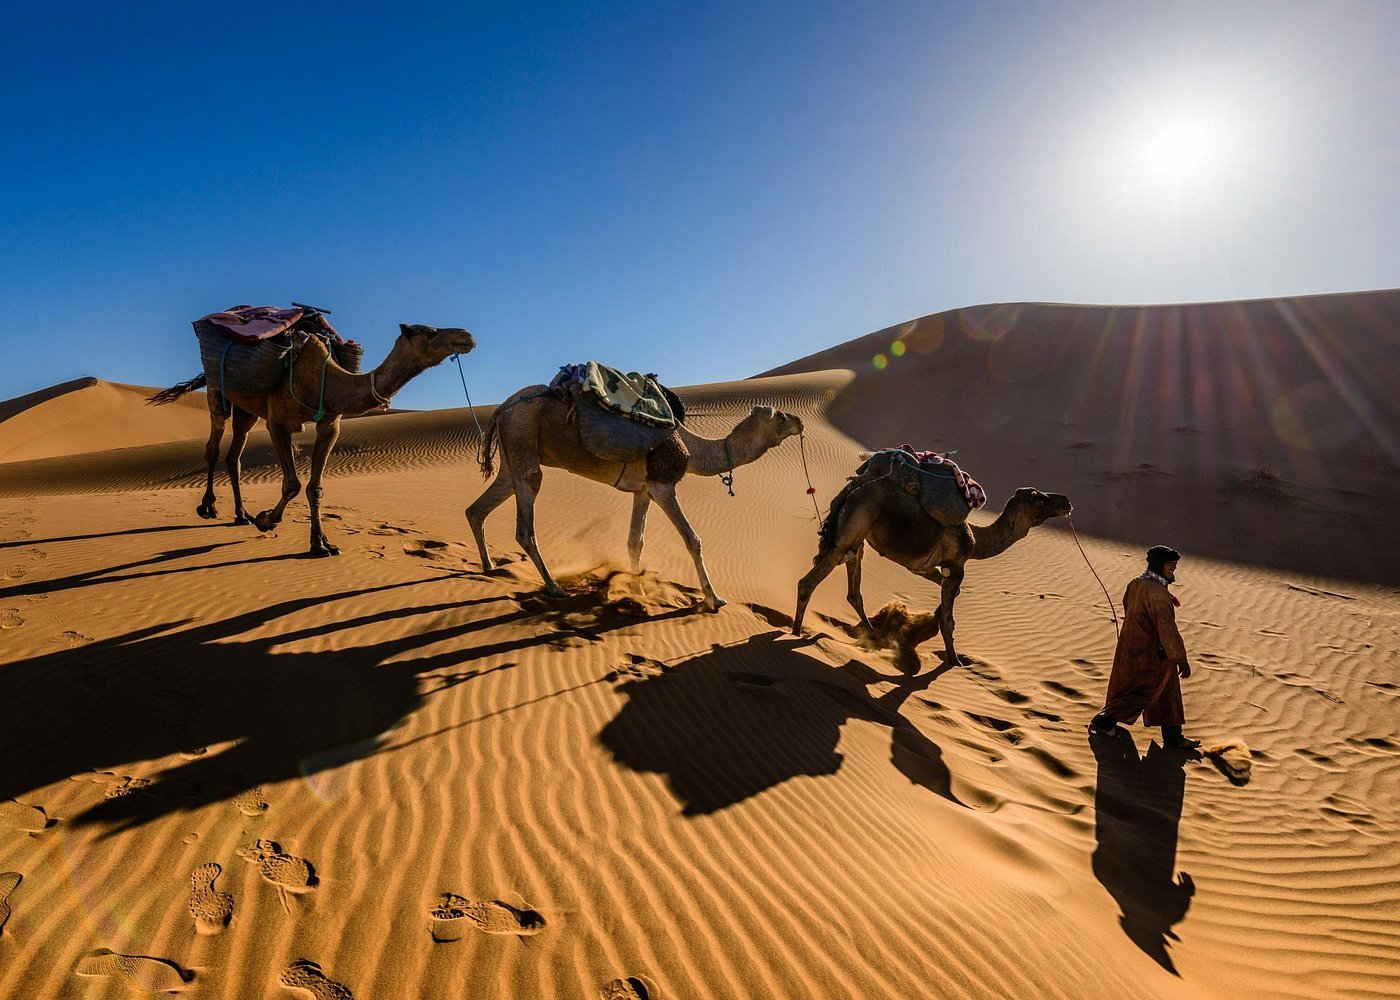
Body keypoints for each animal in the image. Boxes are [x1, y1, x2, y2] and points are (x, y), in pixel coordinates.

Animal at [150, 323, 475, 556]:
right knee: (213, 447)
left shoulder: (330, 424)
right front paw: (267, 520)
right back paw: (208, 507)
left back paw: (241, 515)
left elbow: (315, 487)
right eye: (430, 332)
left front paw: (320, 544)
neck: (324, 379)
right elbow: (292, 484)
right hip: (218, 392)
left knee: (234, 456)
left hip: (247, 409)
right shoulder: (278, 421)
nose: (467, 336)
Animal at [468, 386, 803, 610]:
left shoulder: (643, 490)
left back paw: (489, 567)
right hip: (522, 437)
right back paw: (553, 588)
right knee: (525, 520)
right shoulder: (663, 485)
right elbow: (692, 540)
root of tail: (501, 409)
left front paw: (638, 592)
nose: (799, 421)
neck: (692, 448)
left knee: (479, 507)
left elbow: (635, 541)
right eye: (779, 416)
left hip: (511, 456)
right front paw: (713, 599)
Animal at [793, 465, 1072, 666]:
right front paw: (955, 661)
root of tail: (851, 488)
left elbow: (947, 592)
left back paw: (872, 633)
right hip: (850, 530)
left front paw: (932, 620)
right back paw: (796, 633)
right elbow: (950, 619)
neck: (976, 540)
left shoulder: (925, 567)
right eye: (1038, 497)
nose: (1066, 502)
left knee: (854, 589)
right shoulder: (957, 566)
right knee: (809, 582)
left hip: (856, 537)